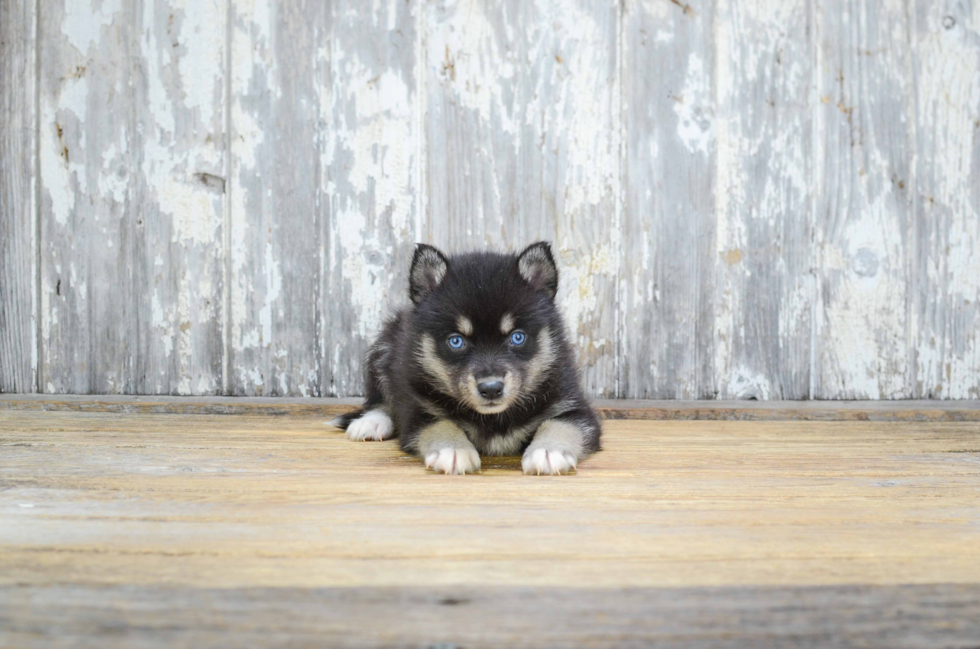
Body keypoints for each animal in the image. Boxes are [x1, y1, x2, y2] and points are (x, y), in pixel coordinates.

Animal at [334, 240, 600, 474]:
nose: (491, 389)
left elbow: (559, 424)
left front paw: (548, 451)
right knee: (379, 401)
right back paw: (371, 422)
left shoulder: (573, 405)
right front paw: (453, 450)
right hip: (383, 351)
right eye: (456, 341)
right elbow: (440, 423)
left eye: (517, 337)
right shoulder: (417, 409)